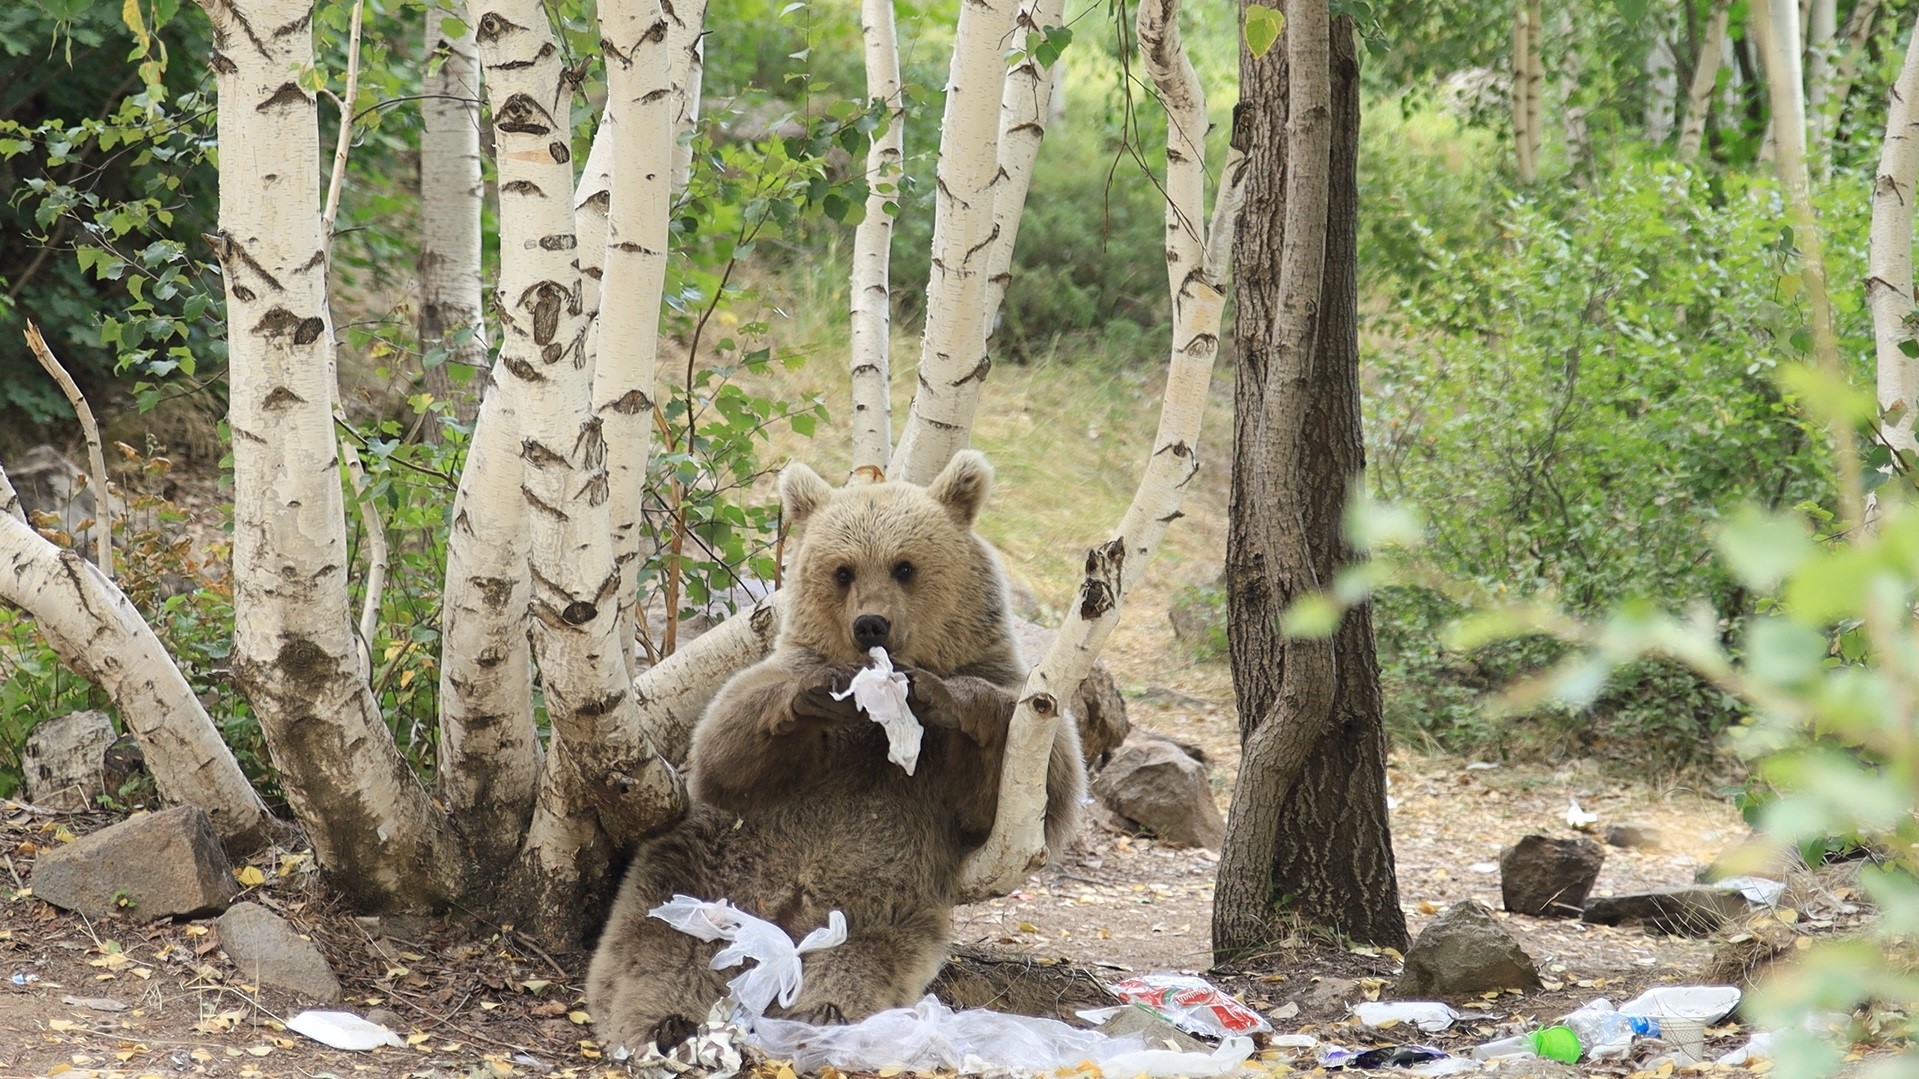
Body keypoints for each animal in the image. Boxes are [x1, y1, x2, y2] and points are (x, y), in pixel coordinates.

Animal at [583, 449, 1089, 1044]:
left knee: (864, 956)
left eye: (904, 566)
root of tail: (784, 917)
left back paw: (823, 1012)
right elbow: (726, 752)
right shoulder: (781, 691)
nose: (871, 623)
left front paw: (943, 696)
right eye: (843, 570)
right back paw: (664, 1018)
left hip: (884, 893)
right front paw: (816, 697)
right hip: (710, 863)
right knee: (663, 937)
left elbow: (1038, 786)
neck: (876, 729)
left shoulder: (1001, 711)